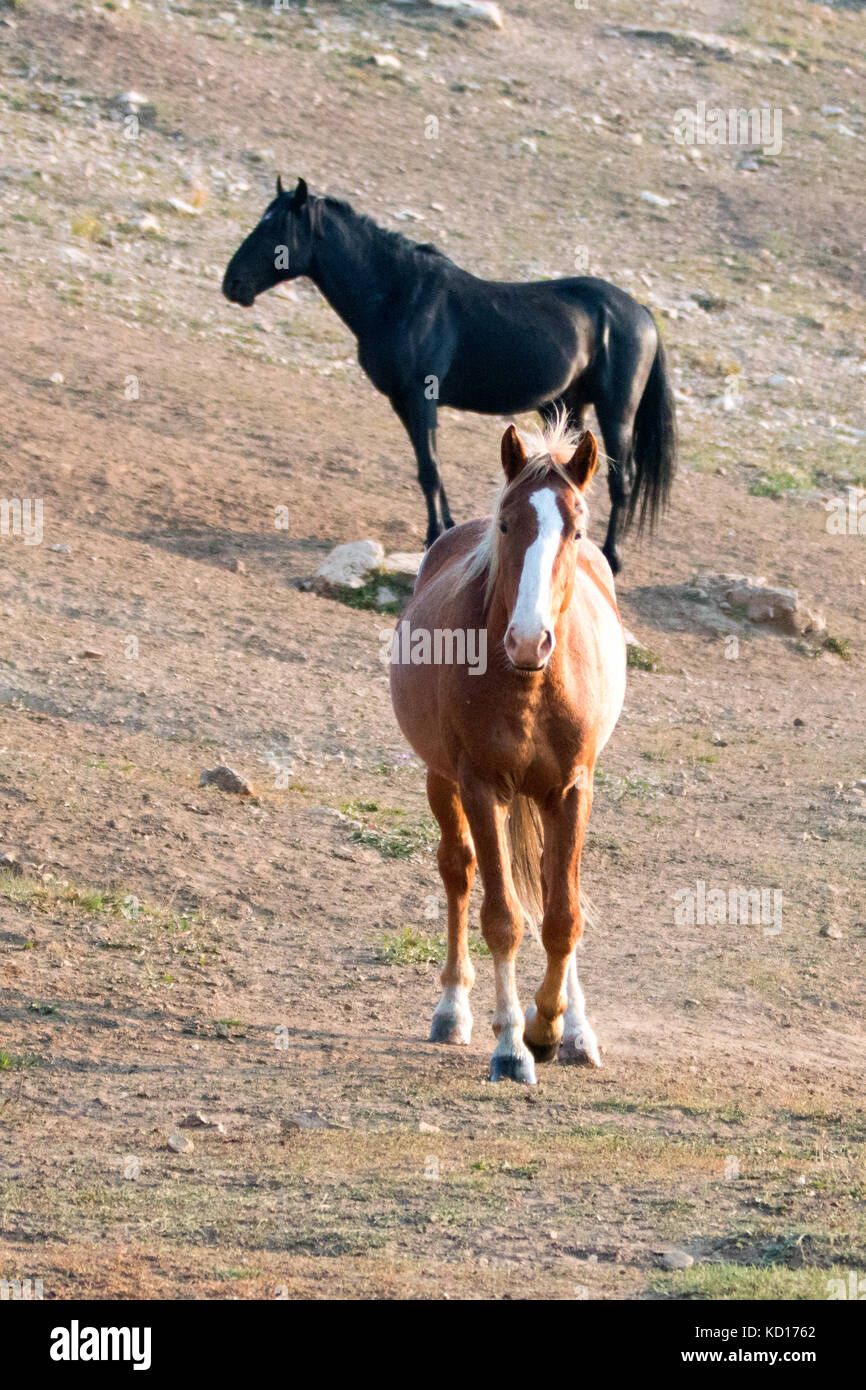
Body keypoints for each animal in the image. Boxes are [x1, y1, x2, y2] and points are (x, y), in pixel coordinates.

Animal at [222, 177, 676, 572]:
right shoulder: (402, 402)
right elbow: (429, 468)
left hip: (616, 412)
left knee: (622, 481)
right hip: (565, 405)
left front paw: (433, 533)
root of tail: (639, 311)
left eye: (275, 230)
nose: (232, 284)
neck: (400, 295)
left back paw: (612, 557)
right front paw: (445, 529)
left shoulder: (420, 398)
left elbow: (430, 467)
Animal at [389, 414, 626, 1083]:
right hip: (441, 781)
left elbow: (562, 915)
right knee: (458, 871)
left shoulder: (572, 788)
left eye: (577, 529)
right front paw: (514, 1044)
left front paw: (552, 1028)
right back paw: (453, 1011)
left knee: (550, 887)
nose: (528, 639)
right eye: (506, 525)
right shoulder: (480, 787)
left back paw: (576, 1031)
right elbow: (501, 918)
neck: (530, 684)